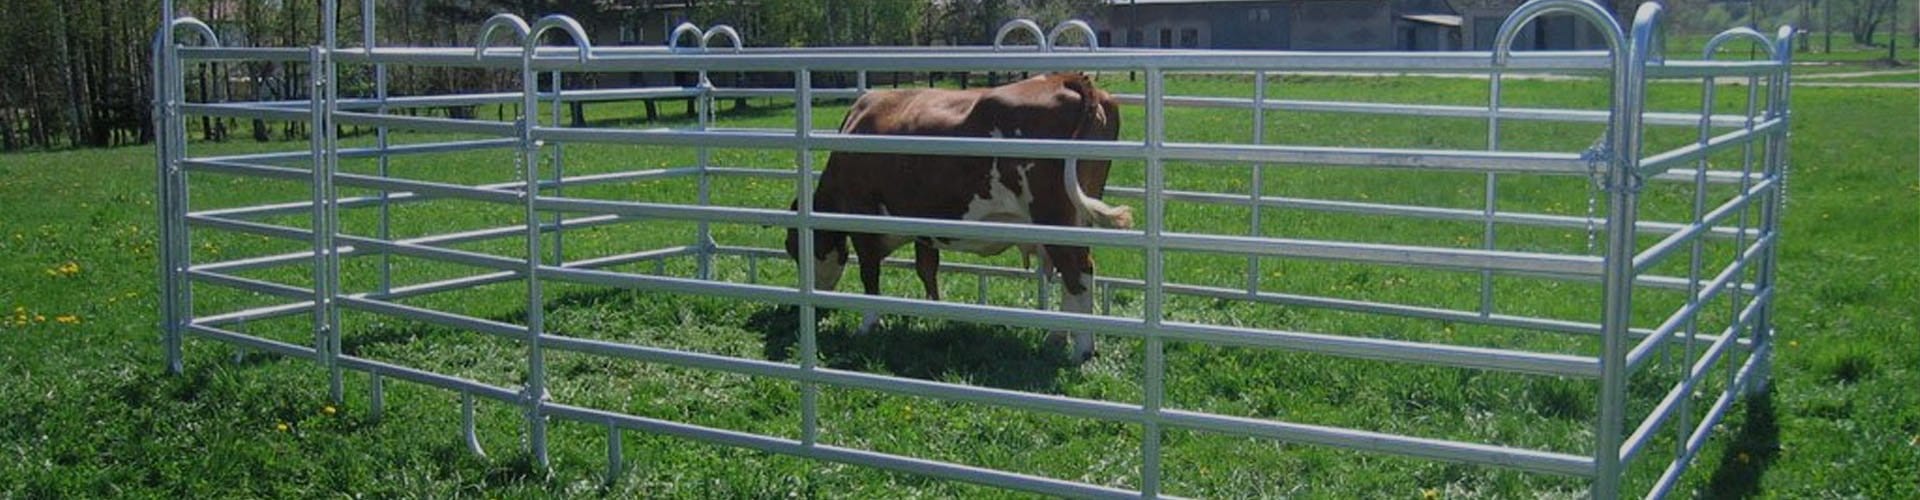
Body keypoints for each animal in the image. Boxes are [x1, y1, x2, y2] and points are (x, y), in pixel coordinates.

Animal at [783, 72, 1131, 361]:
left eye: (793, 248)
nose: (813, 304)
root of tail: (1064, 78)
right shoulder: (922, 224)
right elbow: (927, 269)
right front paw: (933, 313)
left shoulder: (863, 219)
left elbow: (870, 276)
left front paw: (868, 325)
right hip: (1077, 217)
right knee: (1073, 273)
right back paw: (1057, 337)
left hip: (1054, 219)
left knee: (1079, 271)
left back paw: (1081, 349)